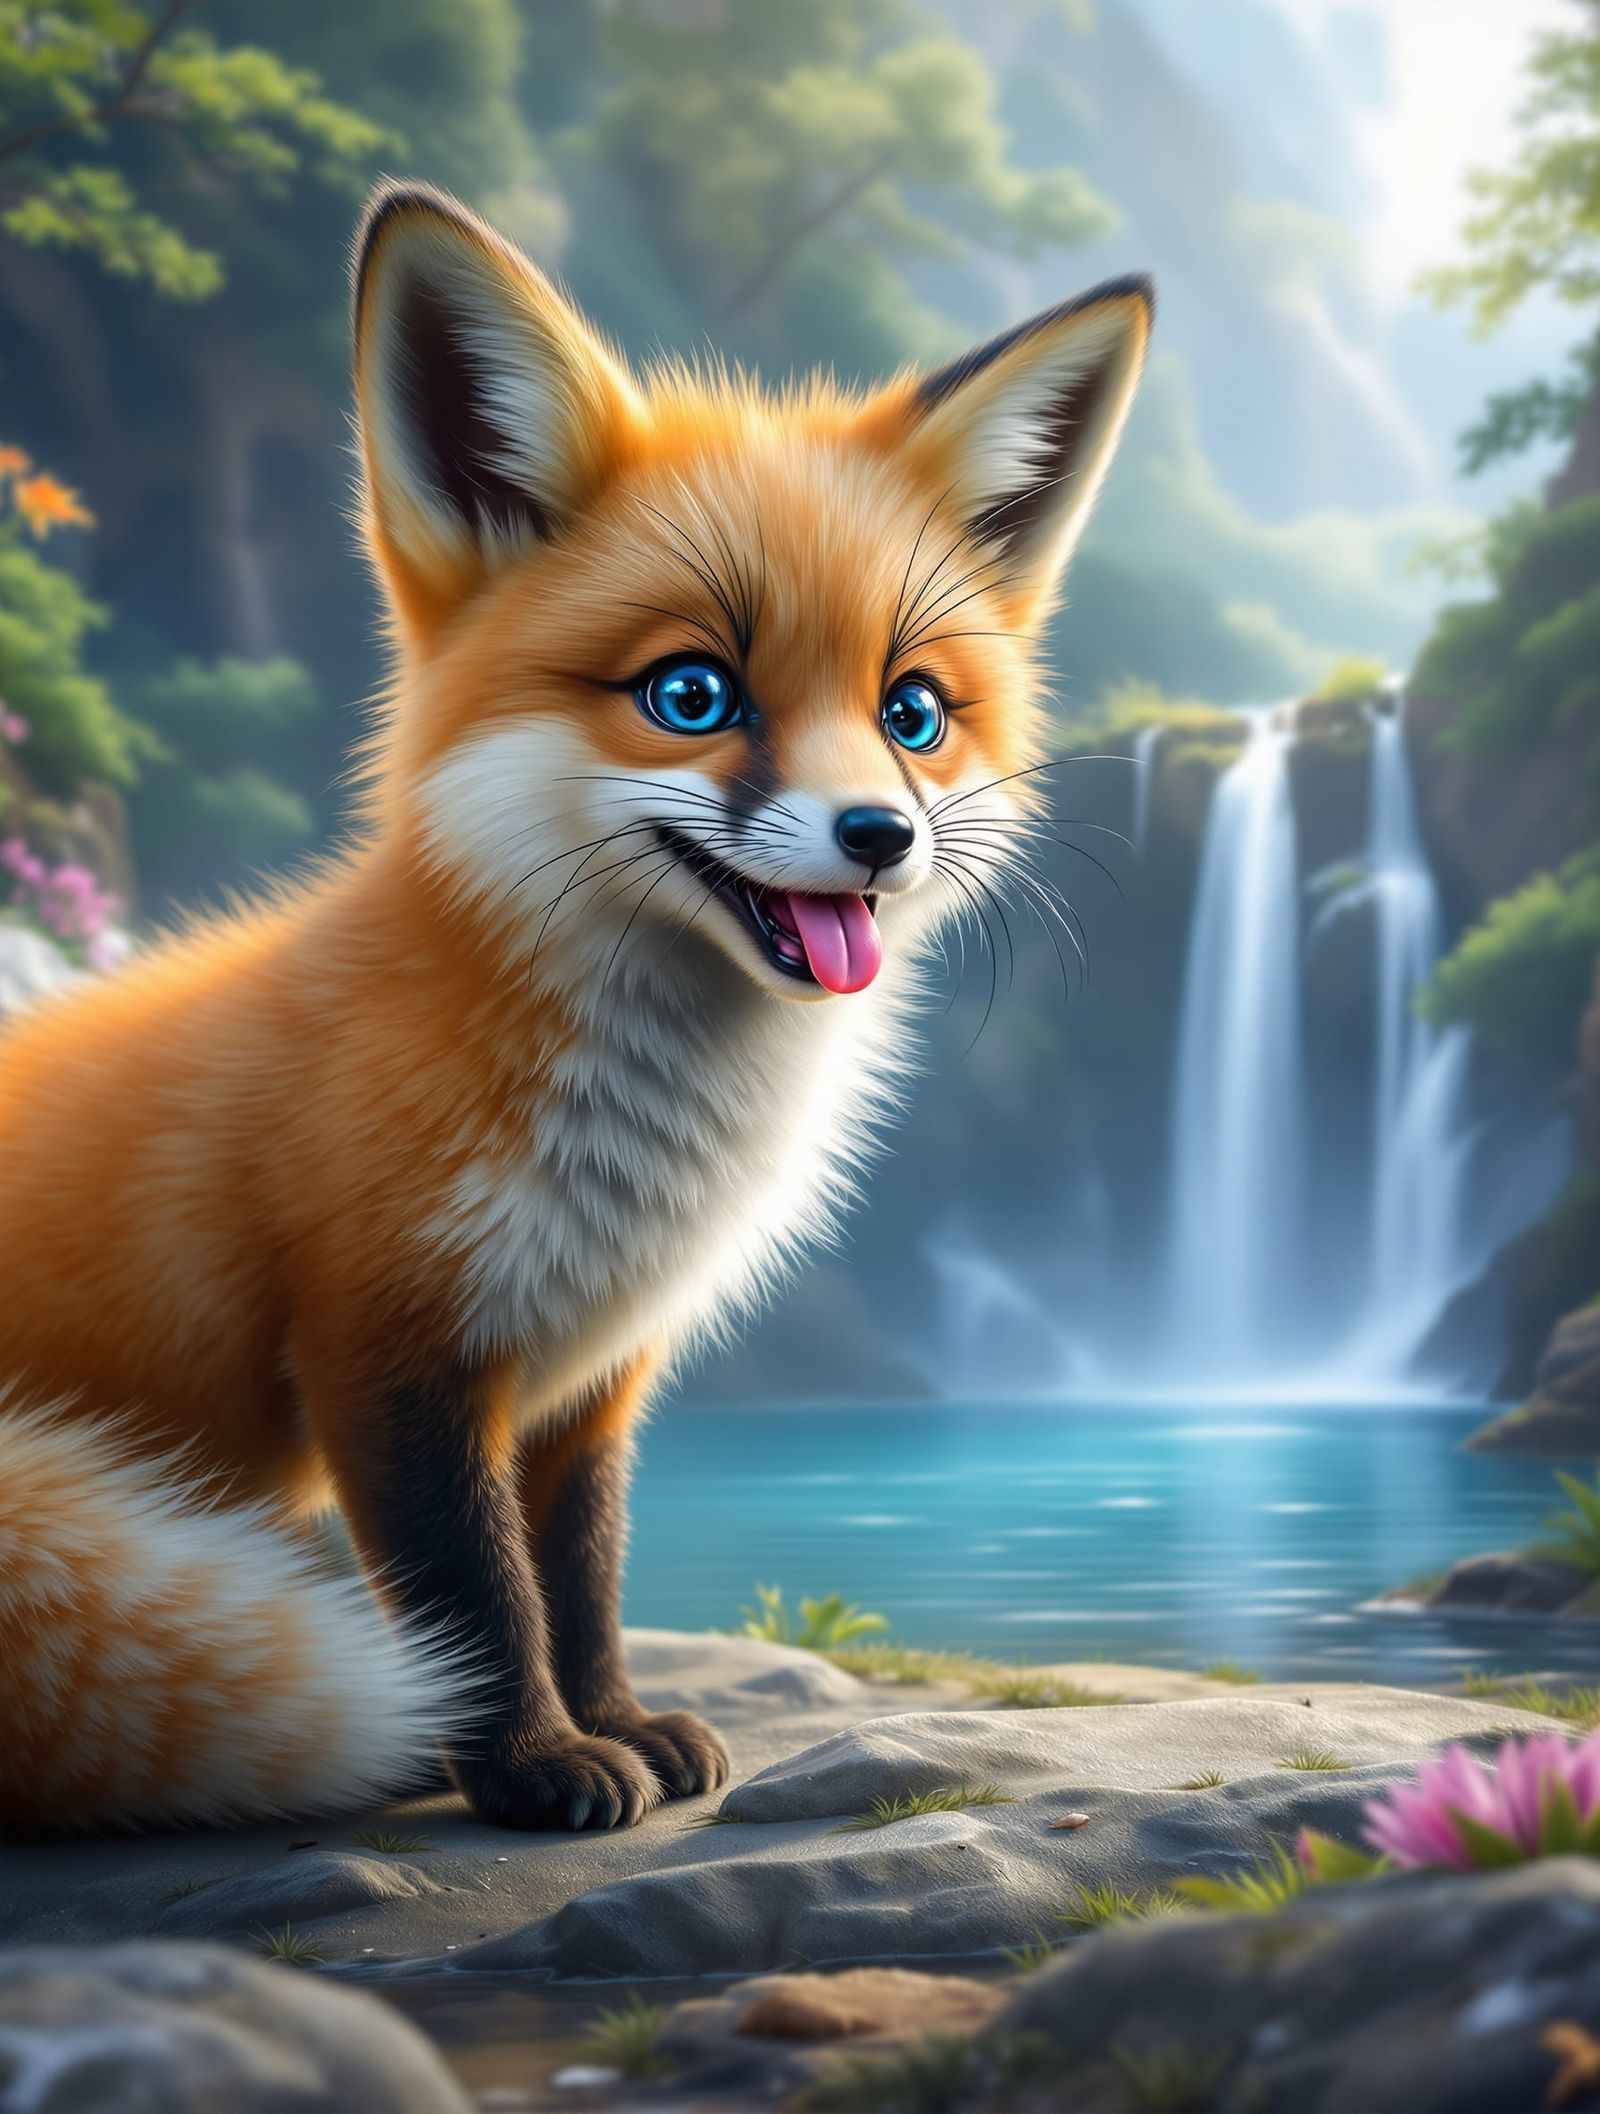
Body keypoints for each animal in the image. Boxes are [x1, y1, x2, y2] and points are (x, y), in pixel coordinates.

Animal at [0, 182, 1150, 1835]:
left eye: (913, 712)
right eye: (691, 695)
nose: (880, 835)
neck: (633, 1137)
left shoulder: (595, 1375)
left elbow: (583, 1574)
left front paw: (618, 1725)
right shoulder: (385, 1348)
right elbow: (473, 1598)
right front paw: (532, 1764)